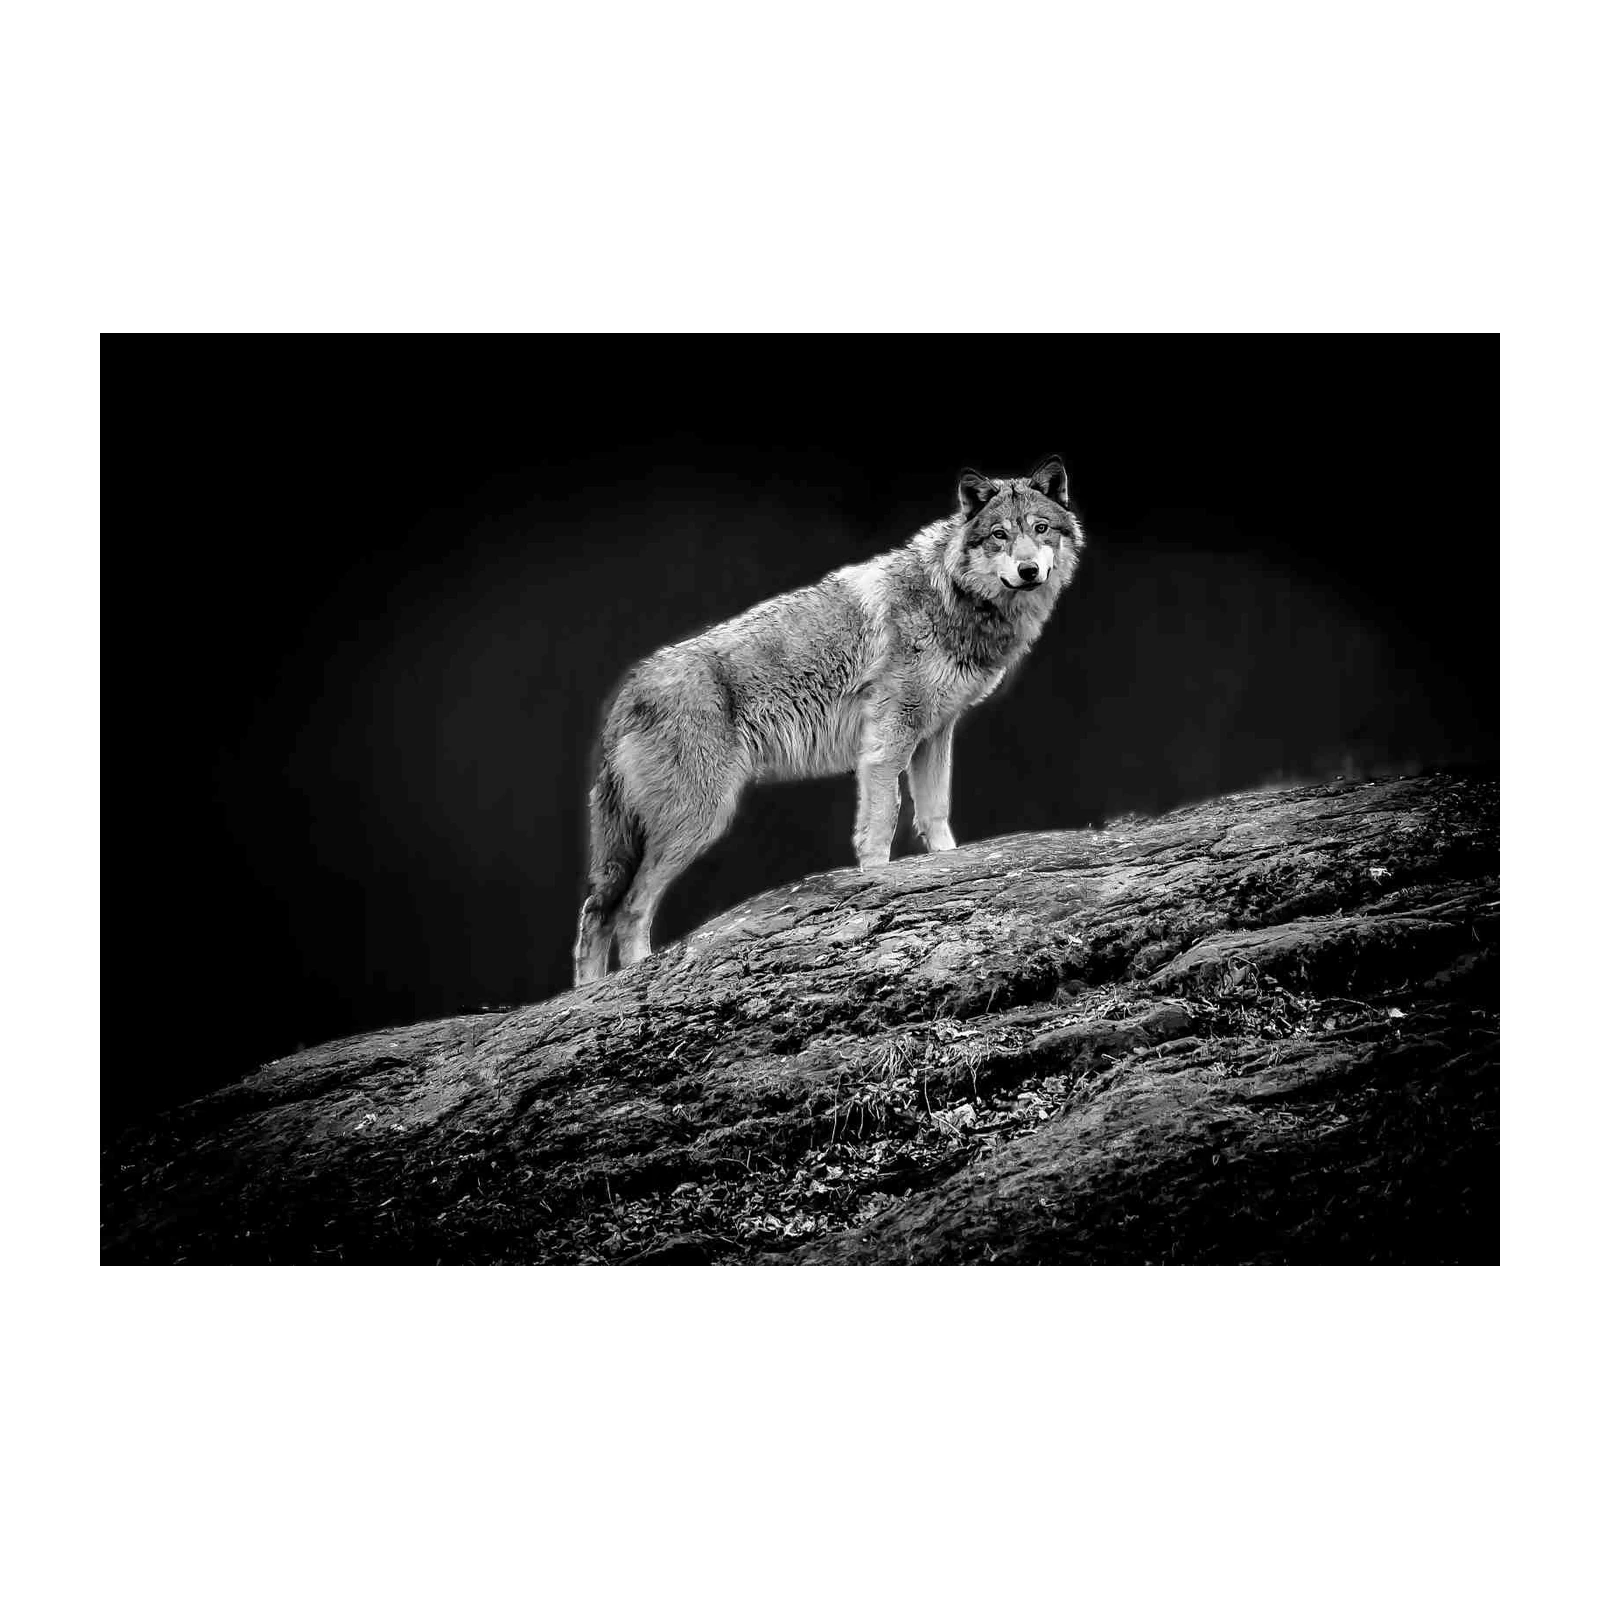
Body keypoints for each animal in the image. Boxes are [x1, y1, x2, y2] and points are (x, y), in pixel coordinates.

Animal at [573, 455, 1085, 984]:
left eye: (1040, 528)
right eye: (1000, 534)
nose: (1028, 570)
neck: (952, 596)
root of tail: (627, 691)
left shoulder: (935, 734)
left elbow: (936, 814)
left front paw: (947, 866)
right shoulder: (888, 741)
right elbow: (882, 822)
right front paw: (878, 882)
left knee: (596, 911)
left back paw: (589, 994)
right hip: (699, 820)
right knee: (627, 908)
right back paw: (630, 980)